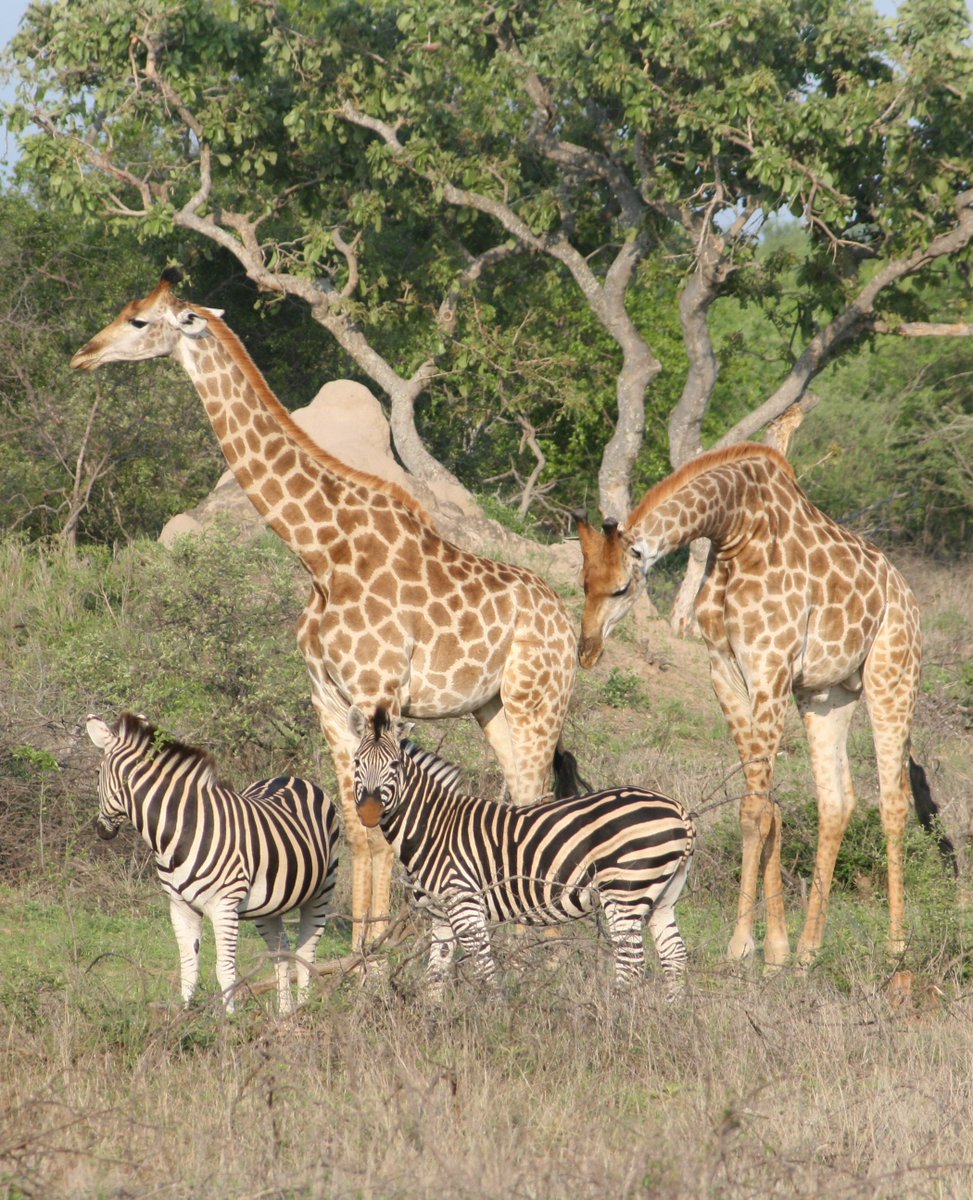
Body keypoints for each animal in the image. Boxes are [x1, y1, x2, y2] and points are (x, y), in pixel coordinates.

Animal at [72, 272, 585, 955]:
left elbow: (382, 823)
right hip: (492, 707)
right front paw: (364, 951)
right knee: (525, 796)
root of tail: (565, 622)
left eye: (139, 321)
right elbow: (356, 823)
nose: (83, 355)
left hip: (538, 701)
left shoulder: (378, 693)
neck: (322, 552)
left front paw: (373, 958)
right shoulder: (328, 697)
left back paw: (544, 955)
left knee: (539, 797)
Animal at [84, 710, 343, 1012]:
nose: (101, 830)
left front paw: (229, 1019)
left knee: (306, 949)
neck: (180, 831)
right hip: (271, 903)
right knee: (281, 948)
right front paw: (183, 1016)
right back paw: (285, 1013)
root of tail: (292, 777)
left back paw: (303, 1009)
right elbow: (188, 967)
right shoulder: (180, 906)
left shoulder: (224, 906)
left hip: (322, 889)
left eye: (97, 773)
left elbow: (224, 969)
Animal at [345, 705, 695, 998]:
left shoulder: (465, 902)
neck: (434, 826)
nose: (370, 813)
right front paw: (434, 1022)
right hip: (663, 896)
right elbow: (435, 977)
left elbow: (485, 969)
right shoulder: (440, 913)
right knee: (675, 956)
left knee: (632, 965)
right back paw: (670, 1015)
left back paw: (618, 1019)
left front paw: (496, 1018)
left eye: (393, 765)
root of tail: (678, 810)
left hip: (625, 891)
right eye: (357, 763)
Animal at [573, 441, 945, 964]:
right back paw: (809, 949)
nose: (586, 651)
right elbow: (763, 803)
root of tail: (909, 598)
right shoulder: (726, 672)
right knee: (836, 801)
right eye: (584, 582)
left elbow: (755, 809)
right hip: (827, 695)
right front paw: (776, 950)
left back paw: (896, 946)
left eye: (622, 587)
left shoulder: (770, 667)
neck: (734, 527)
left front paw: (741, 944)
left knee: (893, 801)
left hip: (893, 677)